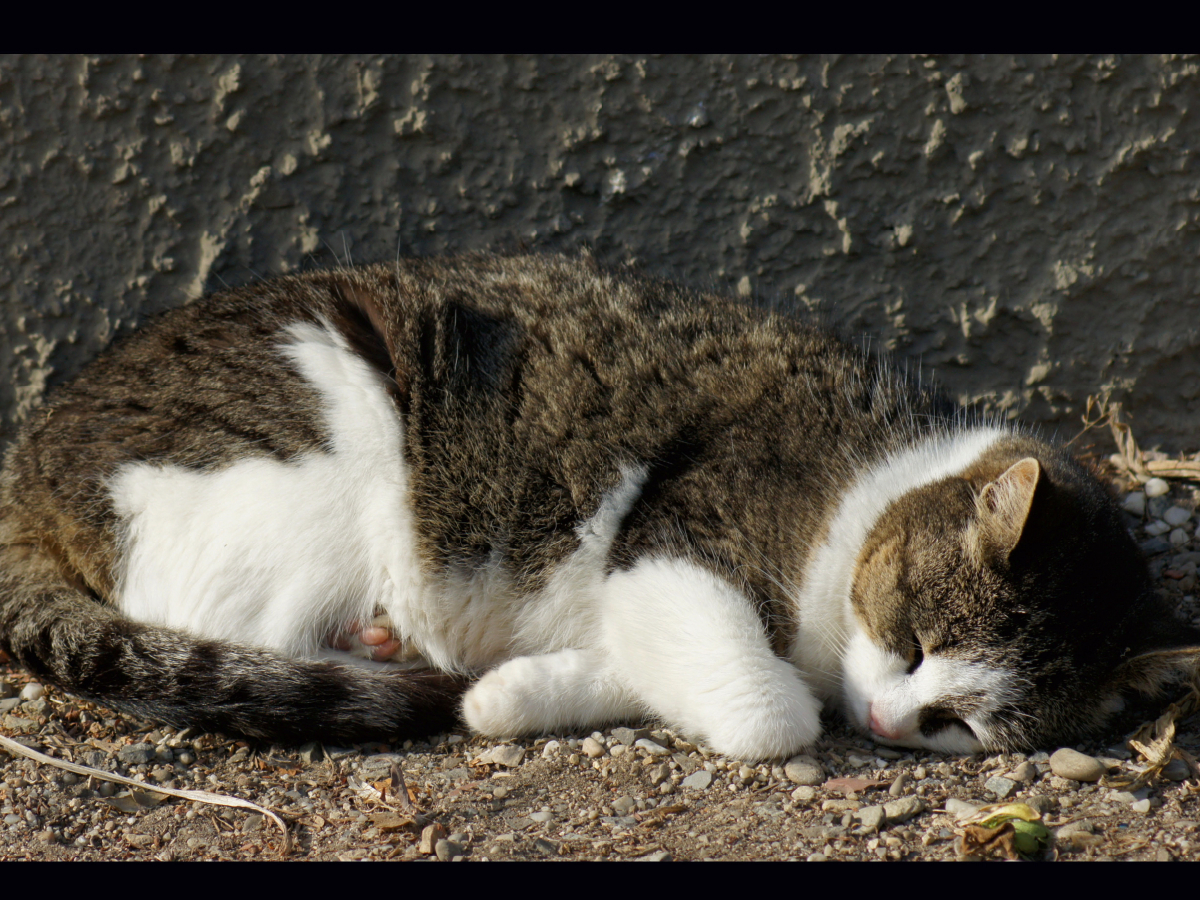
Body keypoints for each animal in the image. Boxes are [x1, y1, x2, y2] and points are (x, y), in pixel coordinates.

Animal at [2, 252, 1200, 763]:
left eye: (959, 724)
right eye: (909, 642)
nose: (889, 725)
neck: (867, 474)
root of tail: (35, 448)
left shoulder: (643, 596)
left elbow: (642, 661)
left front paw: (522, 692)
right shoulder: (673, 539)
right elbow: (770, 710)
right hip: (318, 447)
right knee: (212, 622)